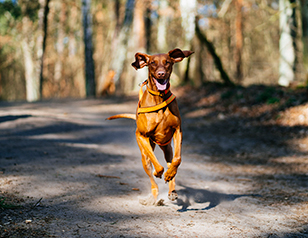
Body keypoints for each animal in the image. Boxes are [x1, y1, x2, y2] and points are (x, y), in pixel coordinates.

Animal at [108, 48, 194, 203]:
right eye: (152, 63)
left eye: (167, 62)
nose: (161, 74)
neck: (159, 97)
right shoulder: (142, 136)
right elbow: (156, 164)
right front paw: (158, 172)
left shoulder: (178, 131)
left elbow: (177, 159)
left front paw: (169, 174)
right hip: (144, 154)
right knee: (150, 168)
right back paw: (154, 195)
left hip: (167, 148)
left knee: (171, 162)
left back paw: (172, 189)